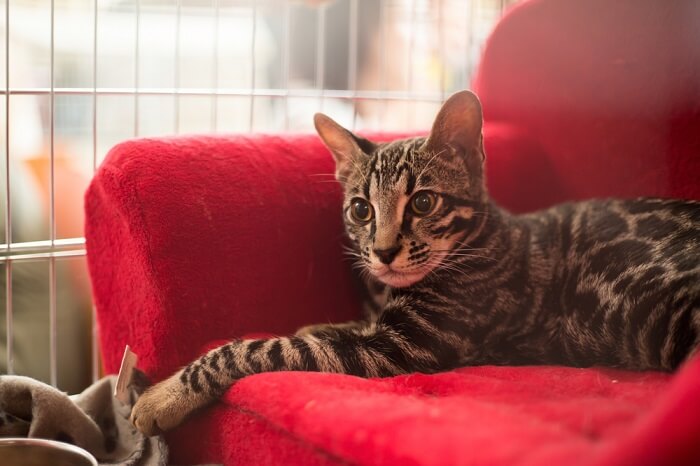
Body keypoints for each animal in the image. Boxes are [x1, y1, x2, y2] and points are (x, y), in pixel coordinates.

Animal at [131, 92, 700, 436]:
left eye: (423, 203)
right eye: (361, 209)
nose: (383, 251)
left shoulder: (396, 349)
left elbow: (258, 348)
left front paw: (164, 395)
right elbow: (326, 329)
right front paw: (322, 320)